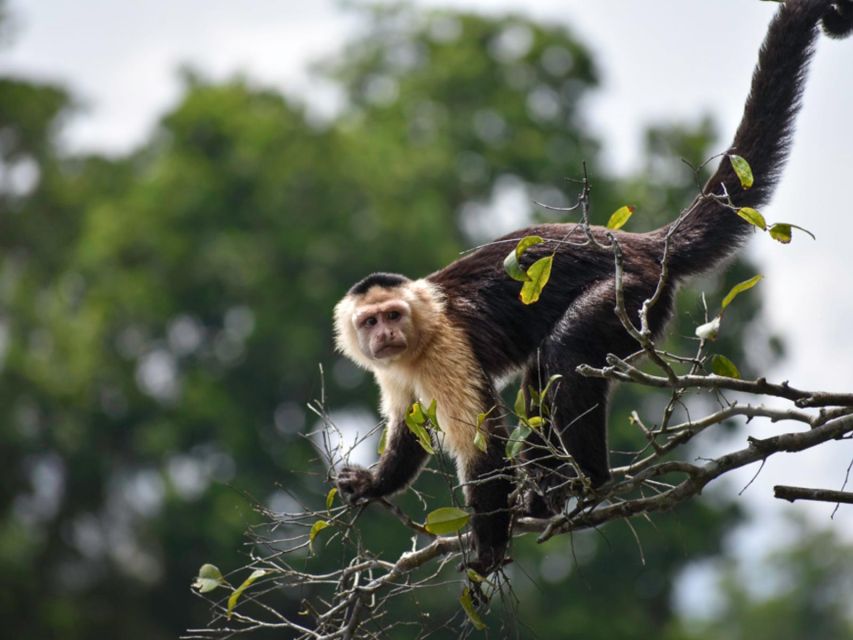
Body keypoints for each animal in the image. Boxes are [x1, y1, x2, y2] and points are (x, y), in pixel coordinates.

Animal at [330, 1, 848, 576]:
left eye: (394, 315)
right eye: (370, 322)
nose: (384, 336)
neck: (418, 339)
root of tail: (641, 245)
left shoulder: (446, 345)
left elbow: (484, 445)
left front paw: (486, 547)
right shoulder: (394, 371)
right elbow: (407, 432)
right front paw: (373, 483)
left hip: (633, 295)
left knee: (565, 352)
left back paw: (586, 481)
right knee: (541, 375)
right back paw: (546, 494)